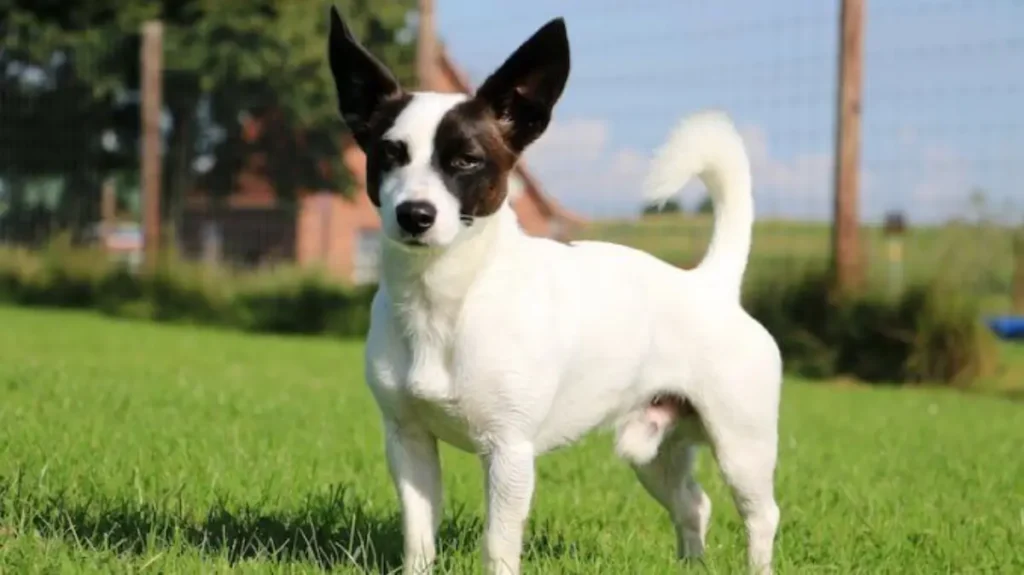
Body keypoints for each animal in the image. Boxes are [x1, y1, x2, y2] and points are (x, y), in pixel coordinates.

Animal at [327, 5, 782, 572]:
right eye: (389, 154)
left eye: (467, 160)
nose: (415, 214)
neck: (449, 298)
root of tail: (711, 283)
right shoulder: (407, 442)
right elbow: (419, 540)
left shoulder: (509, 452)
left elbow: (498, 545)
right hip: (655, 450)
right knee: (694, 504)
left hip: (743, 447)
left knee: (761, 517)